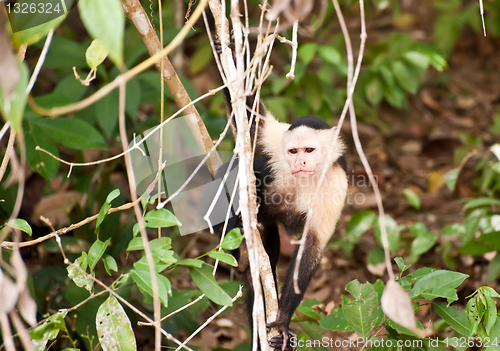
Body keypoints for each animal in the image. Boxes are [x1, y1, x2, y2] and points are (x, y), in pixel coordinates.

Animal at [212, 40, 348, 350]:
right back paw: (239, 242)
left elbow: (311, 245)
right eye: (293, 151)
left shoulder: (338, 183)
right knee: (248, 171)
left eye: (309, 150)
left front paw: (284, 319)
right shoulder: (278, 140)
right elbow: (253, 123)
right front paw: (228, 53)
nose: (300, 162)